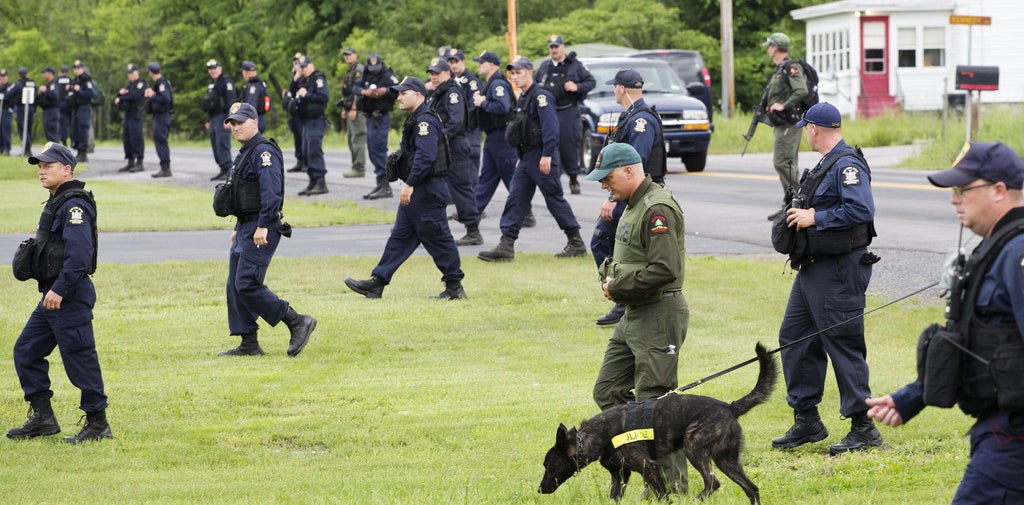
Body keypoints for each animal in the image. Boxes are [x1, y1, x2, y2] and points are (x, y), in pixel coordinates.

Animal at [540, 340, 770, 501]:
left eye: (549, 465)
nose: (539, 489)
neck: (599, 436)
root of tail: (729, 407)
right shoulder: (619, 476)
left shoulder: (648, 467)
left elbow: (663, 496)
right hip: (726, 460)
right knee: (751, 488)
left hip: (694, 447)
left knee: (713, 483)